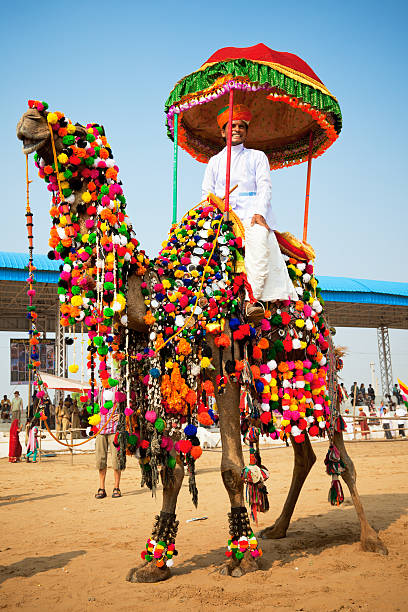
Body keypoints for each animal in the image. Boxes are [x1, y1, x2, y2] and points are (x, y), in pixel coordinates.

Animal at [15, 44, 388, 584]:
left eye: (75, 128)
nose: (28, 119)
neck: (168, 286)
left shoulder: (223, 362)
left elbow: (232, 467)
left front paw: (241, 555)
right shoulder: (178, 365)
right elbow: (172, 469)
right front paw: (154, 561)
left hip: (319, 366)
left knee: (339, 448)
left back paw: (370, 539)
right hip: (282, 382)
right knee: (304, 451)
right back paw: (278, 528)